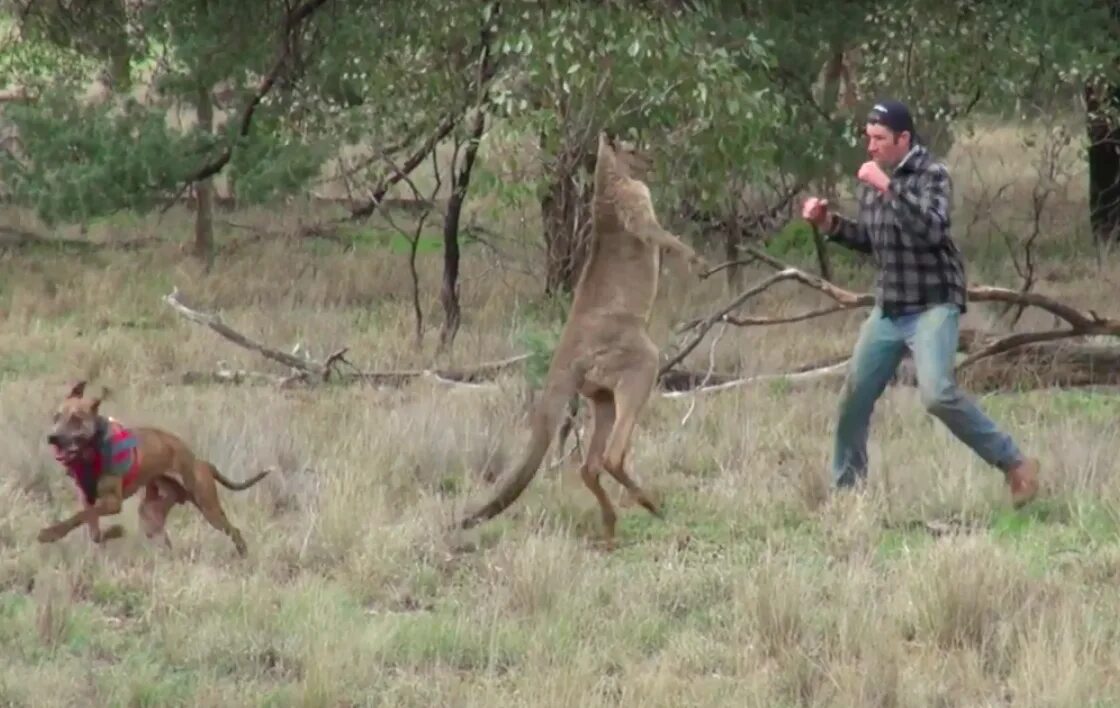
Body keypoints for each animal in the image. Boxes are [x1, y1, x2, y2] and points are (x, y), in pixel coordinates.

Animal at [40, 378, 271, 555]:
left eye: (76, 419)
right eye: (56, 416)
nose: (52, 438)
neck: (91, 451)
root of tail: (200, 461)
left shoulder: (113, 502)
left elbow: (80, 517)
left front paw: (50, 533)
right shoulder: (87, 498)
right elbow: (91, 525)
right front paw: (111, 532)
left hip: (209, 508)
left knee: (234, 530)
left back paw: (243, 555)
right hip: (151, 512)